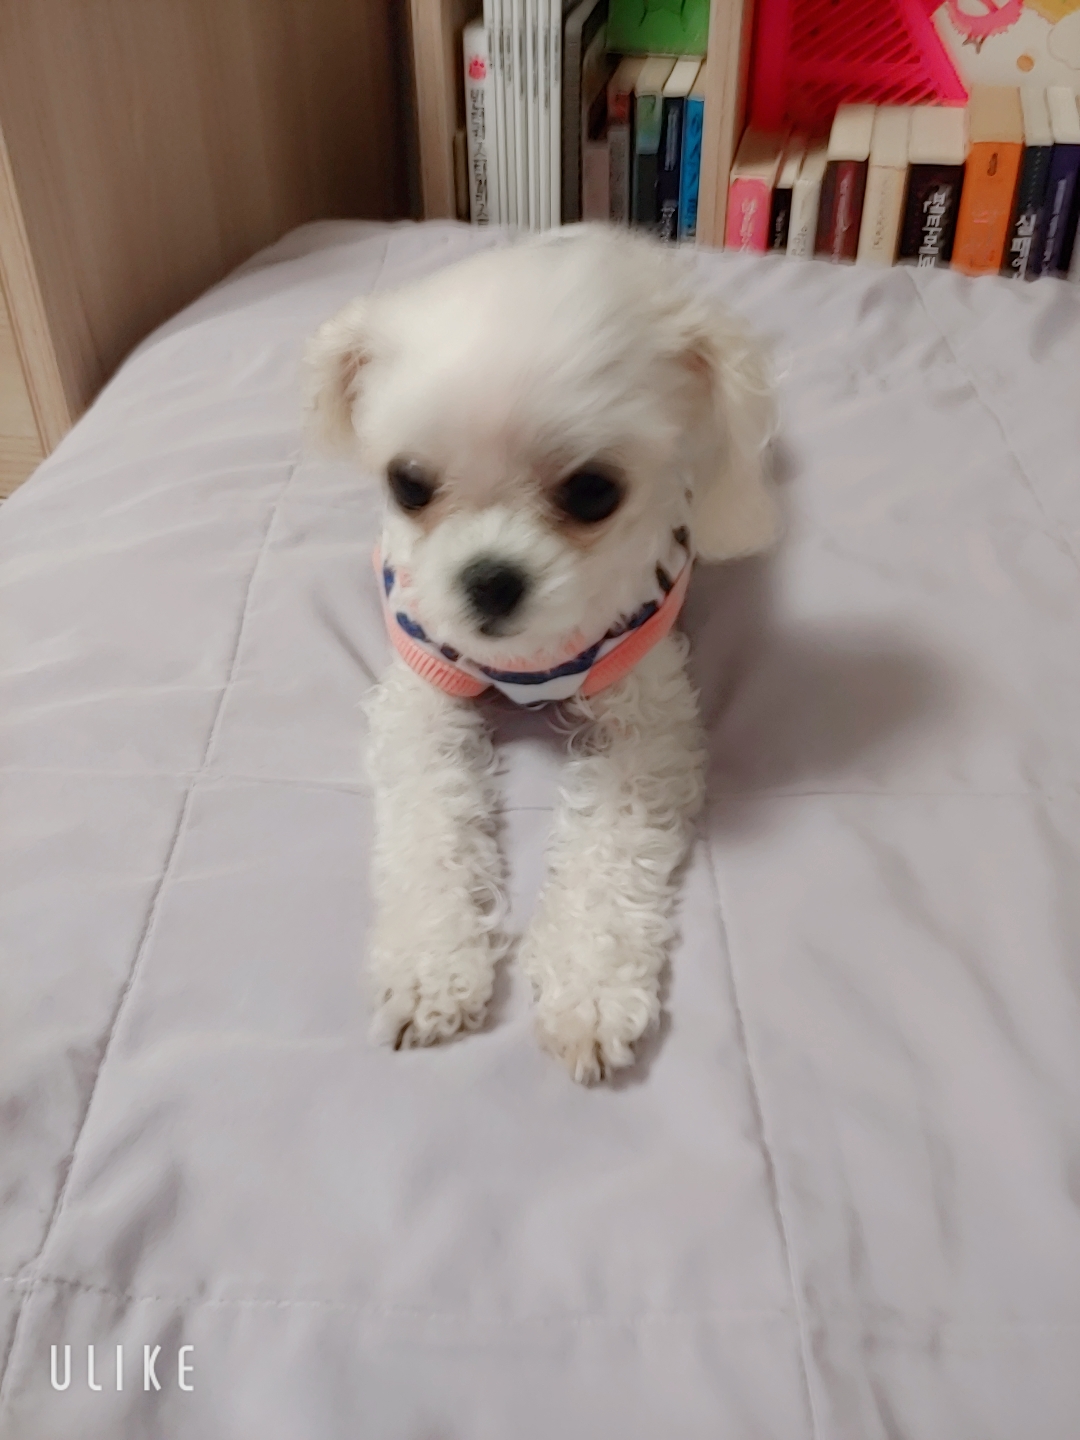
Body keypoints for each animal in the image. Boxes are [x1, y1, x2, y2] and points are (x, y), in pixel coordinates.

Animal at [305, 225, 776, 1083]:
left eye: (593, 492)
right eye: (407, 484)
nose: (488, 581)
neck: (529, 658)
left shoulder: (648, 719)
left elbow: (612, 848)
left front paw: (589, 990)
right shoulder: (424, 694)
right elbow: (426, 825)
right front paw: (430, 966)